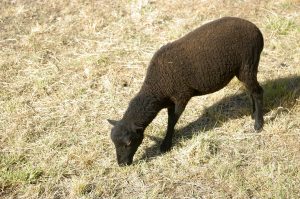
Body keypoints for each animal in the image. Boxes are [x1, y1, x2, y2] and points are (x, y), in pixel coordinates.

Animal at [109, 16, 264, 166]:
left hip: (247, 64)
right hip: (245, 68)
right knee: (251, 90)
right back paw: (253, 114)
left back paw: (258, 124)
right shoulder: (170, 102)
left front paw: (166, 145)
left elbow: (172, 121)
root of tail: (256, 30)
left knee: (258, 92)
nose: (122, 164)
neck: (156, 88)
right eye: (113, 142)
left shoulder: (181, 96)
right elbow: (170, 119)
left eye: (129, 143)